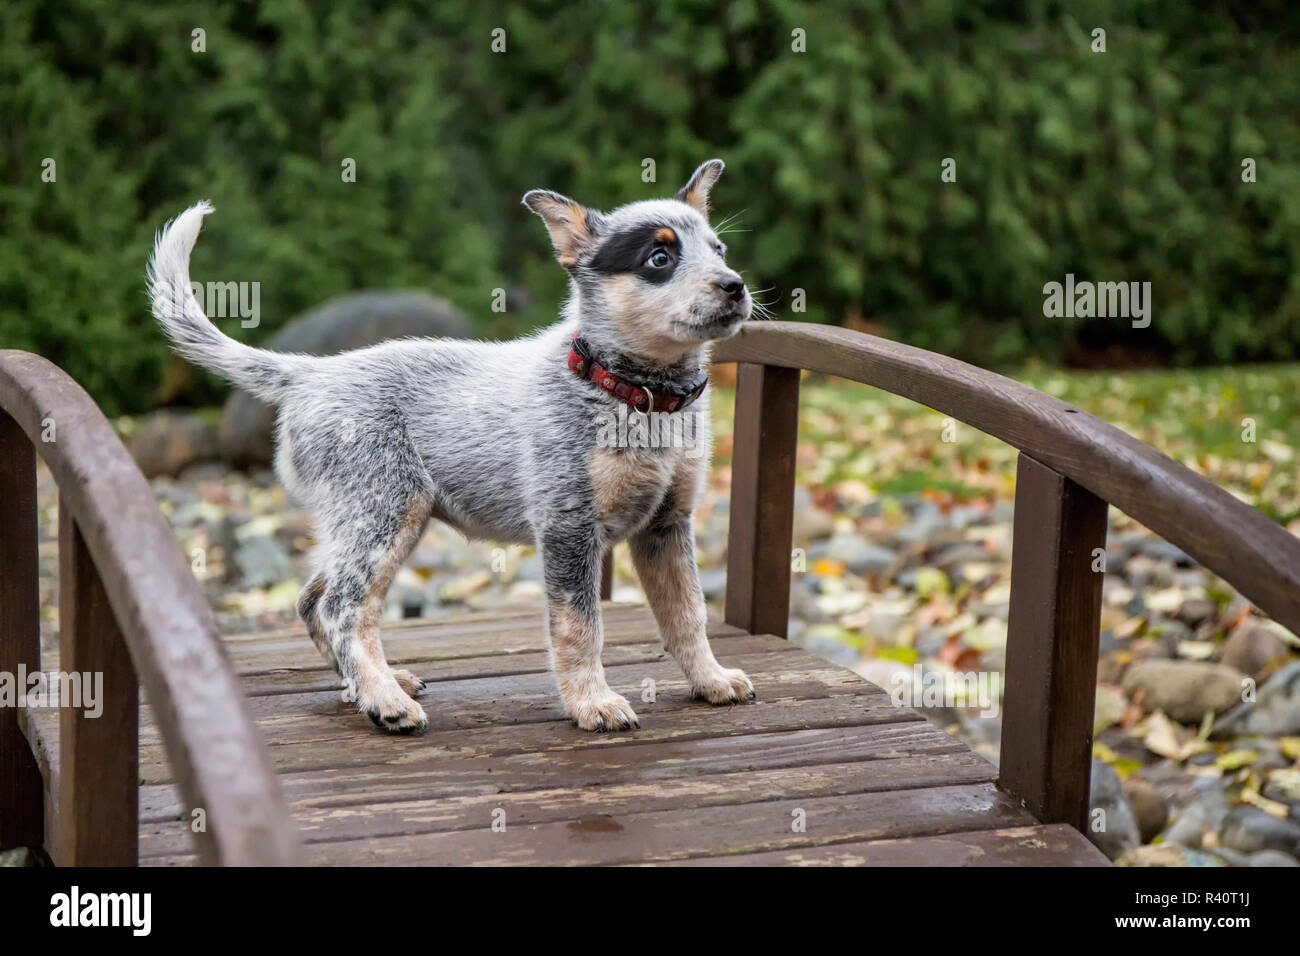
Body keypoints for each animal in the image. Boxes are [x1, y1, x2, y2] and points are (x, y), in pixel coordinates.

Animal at [149, 160, 759, 738]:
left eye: (719, 250)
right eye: (659, 258)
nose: (735, 285)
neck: (639, 396)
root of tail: (311, 374)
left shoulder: (666, 526)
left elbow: (688, 614)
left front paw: (711, 680)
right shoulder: (568, 526)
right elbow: (580, 627)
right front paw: (593, 704)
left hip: (375, 520)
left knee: (313, 600)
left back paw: (373, 685)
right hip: (385, 512)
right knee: (343, 607)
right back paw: (385, 702)